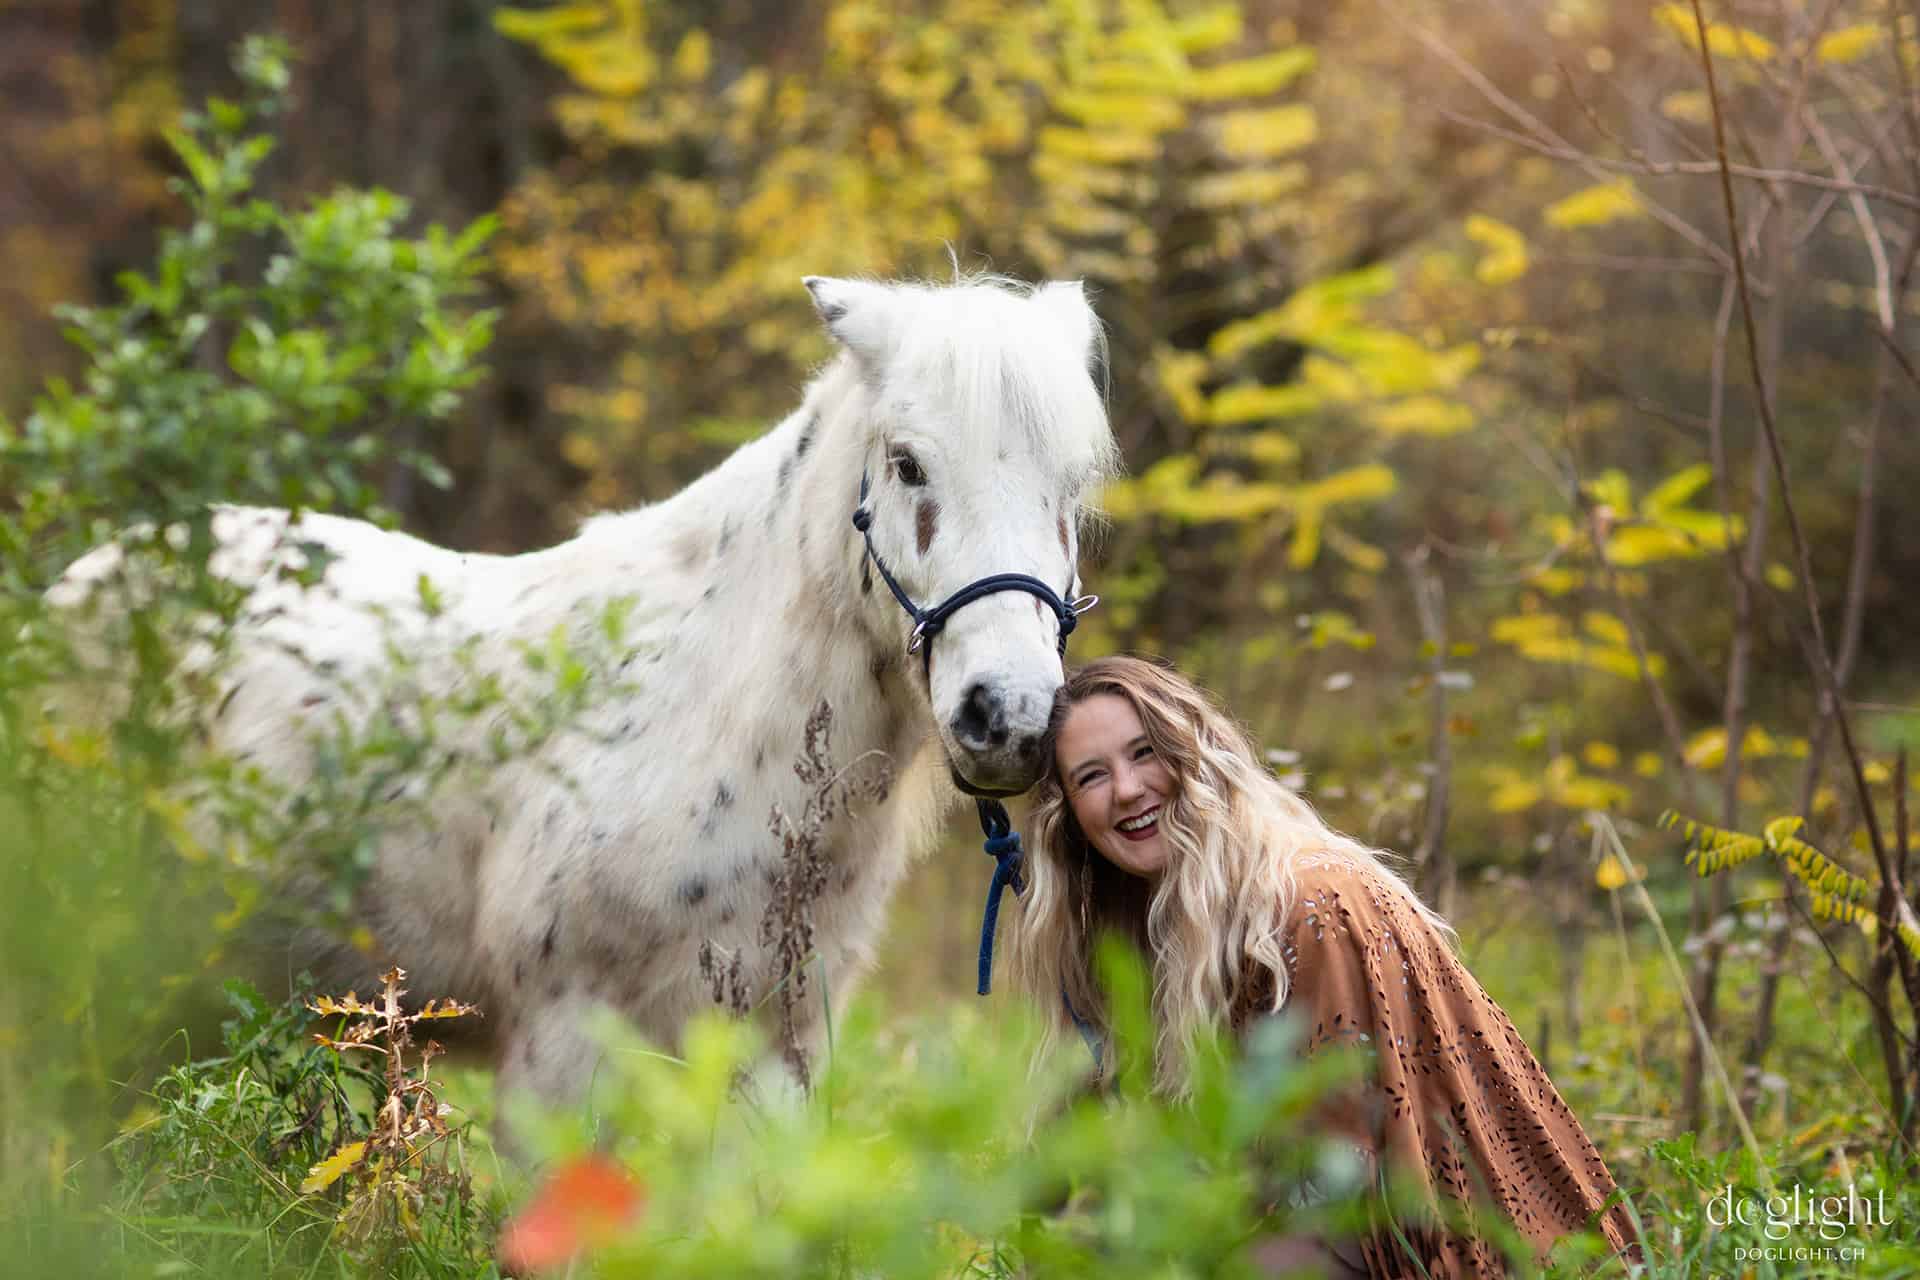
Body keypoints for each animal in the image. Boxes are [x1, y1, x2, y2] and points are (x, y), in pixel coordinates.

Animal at [52, 276, 1121, 1105]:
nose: (1008, 716)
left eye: (1071, 490)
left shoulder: (775, 1054)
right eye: (906, 465)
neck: (709, 713)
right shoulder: (559, 1052)